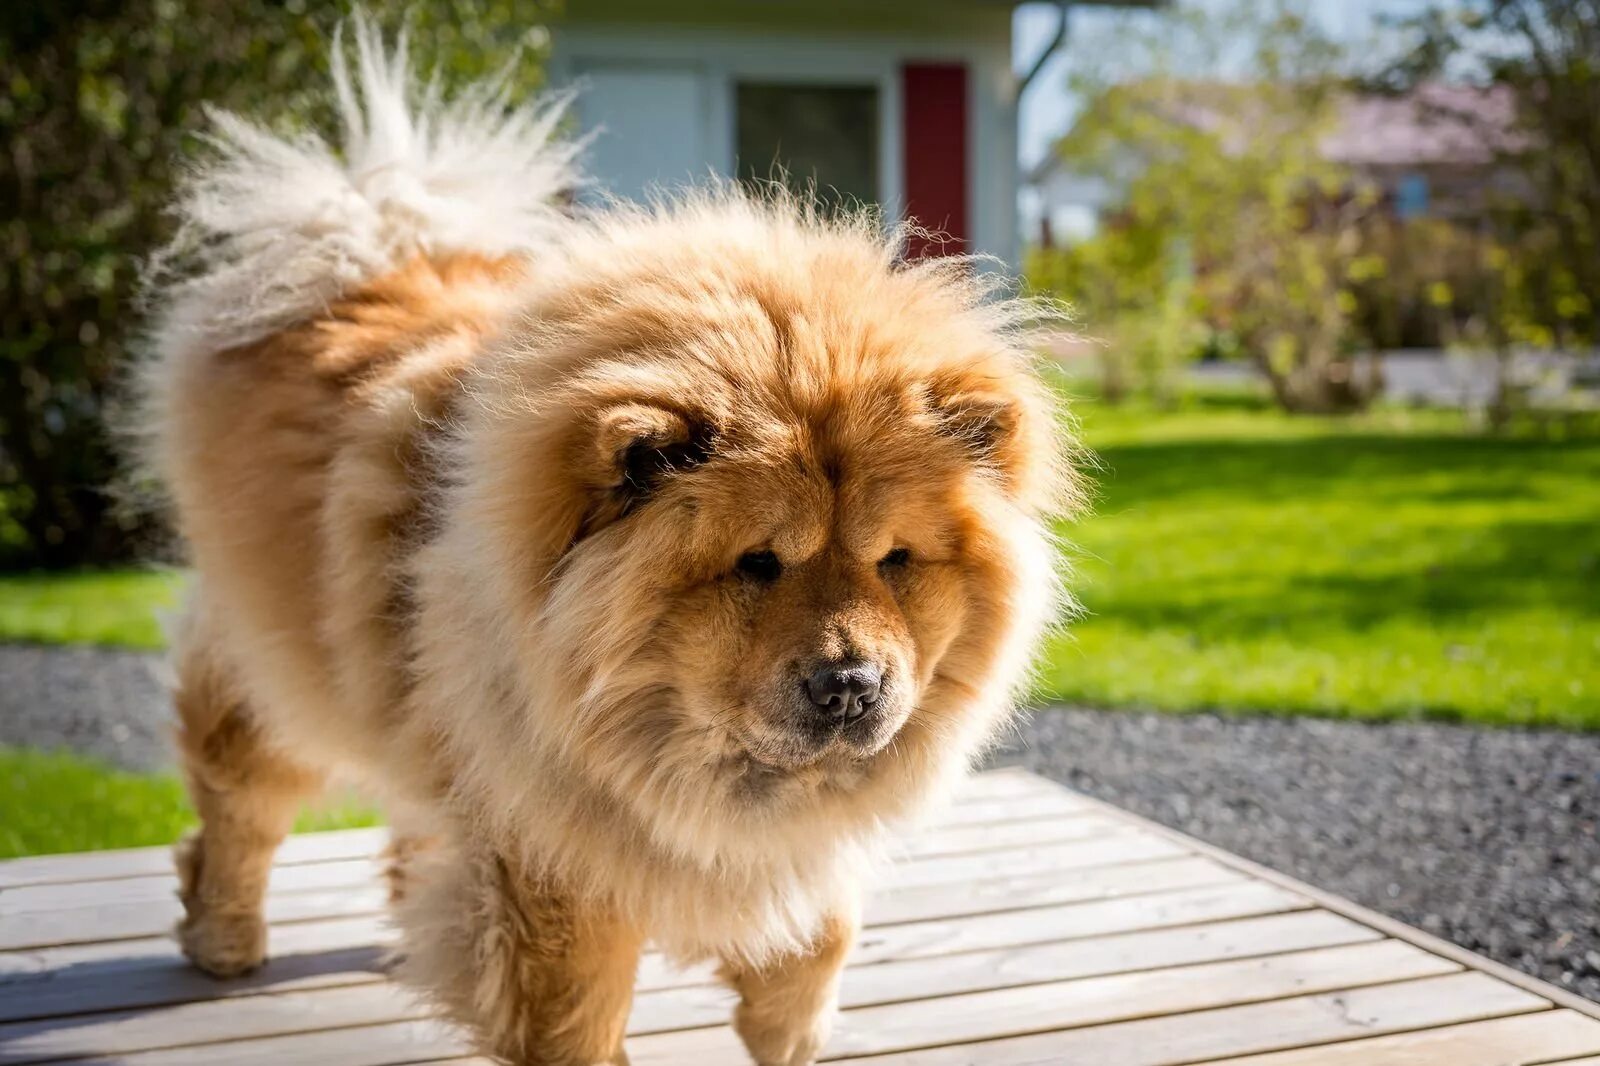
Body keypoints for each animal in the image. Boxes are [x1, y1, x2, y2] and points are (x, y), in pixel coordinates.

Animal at [134, 22, 1075, 1062]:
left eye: (894, 561)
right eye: (758, 564)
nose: (850, 686)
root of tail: (375, 239)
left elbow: (822, 931)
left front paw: (787, 1024)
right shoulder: (553, 860)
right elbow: (575, 1011)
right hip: (279, 669)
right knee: (239, 793)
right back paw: (224, 937)